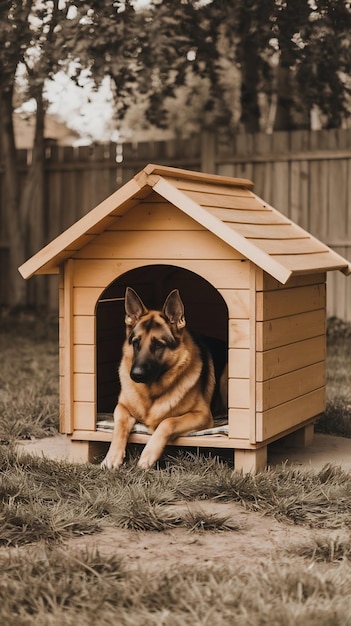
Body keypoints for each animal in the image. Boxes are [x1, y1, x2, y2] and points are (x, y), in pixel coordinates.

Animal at [100, 286, 219, 466]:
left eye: (158, 345)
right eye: (135, 342)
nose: (135, 375)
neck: (151, 393)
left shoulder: (202, 415)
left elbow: (168, 421)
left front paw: (148, 454)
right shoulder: (122, 407)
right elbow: (119, 427)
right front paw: (111, 457)